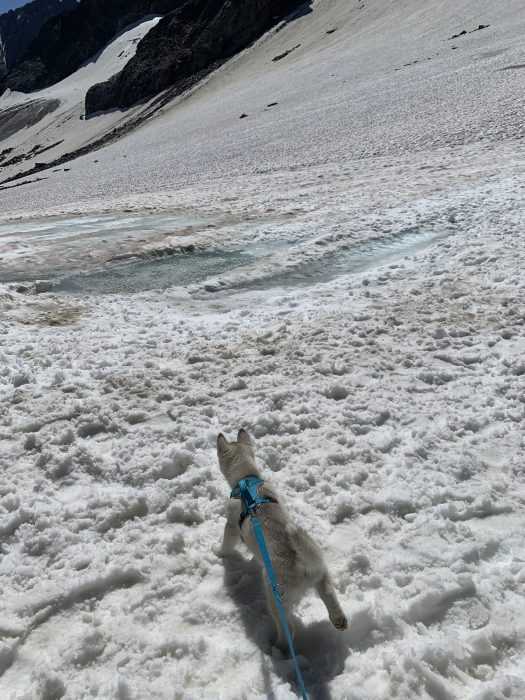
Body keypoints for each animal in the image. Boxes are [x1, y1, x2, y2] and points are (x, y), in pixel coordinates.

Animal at [215, 430, 346, 648]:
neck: (247, 479)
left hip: (276, 597)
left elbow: (226, 543)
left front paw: (218, 553)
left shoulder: (232, 524)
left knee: (287, 630)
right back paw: (339, 621)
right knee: (329, 594)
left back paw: (277, 647)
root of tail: (303, 565)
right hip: (321, 574)